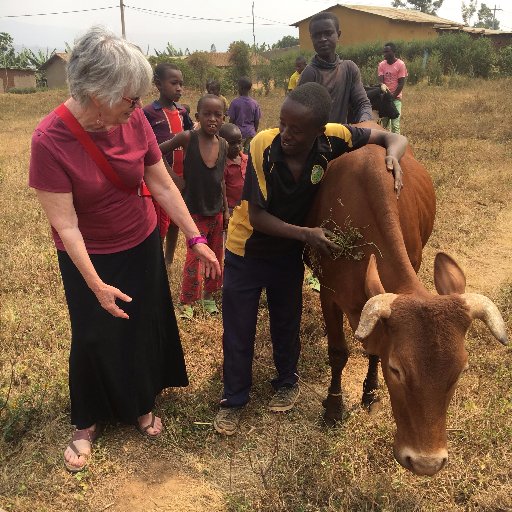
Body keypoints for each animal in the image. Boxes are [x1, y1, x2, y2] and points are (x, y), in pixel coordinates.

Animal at [306, 137, 506, 476]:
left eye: (461, 371)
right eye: (397, 369)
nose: (426, 462)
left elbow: (374, 349)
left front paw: (371, 392)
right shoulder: (329, 294)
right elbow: (338, 353)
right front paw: (333, 409)